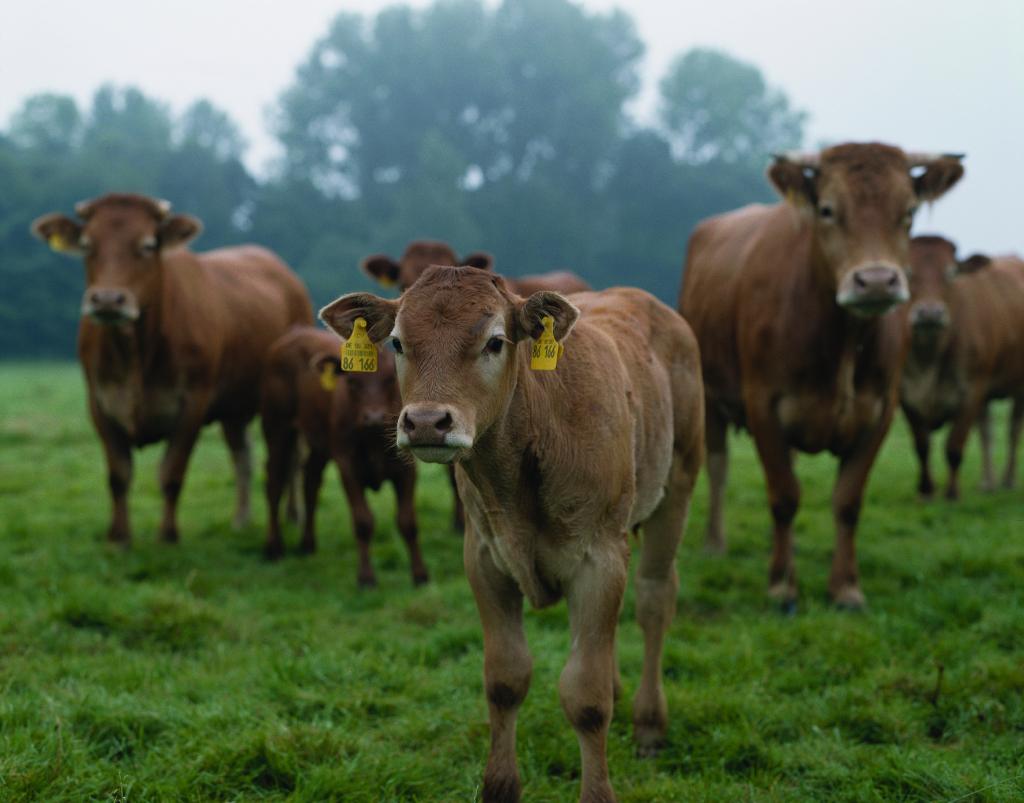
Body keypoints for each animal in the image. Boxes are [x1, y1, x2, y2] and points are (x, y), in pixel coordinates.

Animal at [30, 193, 313, 545]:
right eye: (86, 244)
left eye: (148, 245)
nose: (108, 300)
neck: (134, 357)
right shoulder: (99, 402)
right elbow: (118, 475)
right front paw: (119, 538)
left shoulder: (193, 402)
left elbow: (172, 473)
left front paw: (167, 535)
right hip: (235, 404)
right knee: (243, 456)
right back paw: (241, 519)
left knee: (293, 456)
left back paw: (294, 514)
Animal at [260, 326, 428, 587]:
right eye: (352, 381)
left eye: (390, 379)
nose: (373, 417)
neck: (373, 440)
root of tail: (295, 333)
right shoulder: (347, 465)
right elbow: (363, 521)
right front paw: (366, 577)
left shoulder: (406, 469)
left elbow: (408, 521)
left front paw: (420, 574)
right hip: (277, 429)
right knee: (275, 483)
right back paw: (274, 548)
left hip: (318, 444)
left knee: (310, 482)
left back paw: (307, 544)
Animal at [679, 143, 964, 610]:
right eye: (828, 210)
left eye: (907, 212)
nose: (876, 281)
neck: (844, 340)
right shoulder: (762, 404)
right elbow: (783, 496)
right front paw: (782, 585)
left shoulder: (880, 411)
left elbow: (847, 502)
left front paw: (845, 587)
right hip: (707, 395)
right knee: (718, 467)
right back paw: (715, 543)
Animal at [901, 235, 1024, 499]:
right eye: (908, 272)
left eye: (951, 273)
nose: (929, 313)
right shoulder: (905, 395)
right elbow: (922, 446)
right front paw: (926, 490)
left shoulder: (971, 392)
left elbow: (954, 446)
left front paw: (951, 493)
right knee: (987, 432)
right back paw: (988, 482)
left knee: (1013, 431)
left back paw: (1008, 479)